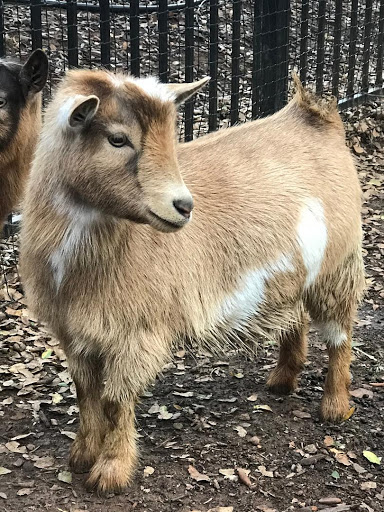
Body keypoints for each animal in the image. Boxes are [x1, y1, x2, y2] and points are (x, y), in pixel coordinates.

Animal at [19, 71, 364, 492]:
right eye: (117, 138)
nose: (184, 206)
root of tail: (312, 116)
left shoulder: (136, 332)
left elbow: (116, 401)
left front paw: (111, 471)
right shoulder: (73, 332)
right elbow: (85, 393)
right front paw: (82, 455)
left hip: (338, 267)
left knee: (339, 335)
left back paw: (335, 406)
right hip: (291, 274)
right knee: (295, 313)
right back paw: (283, 379)